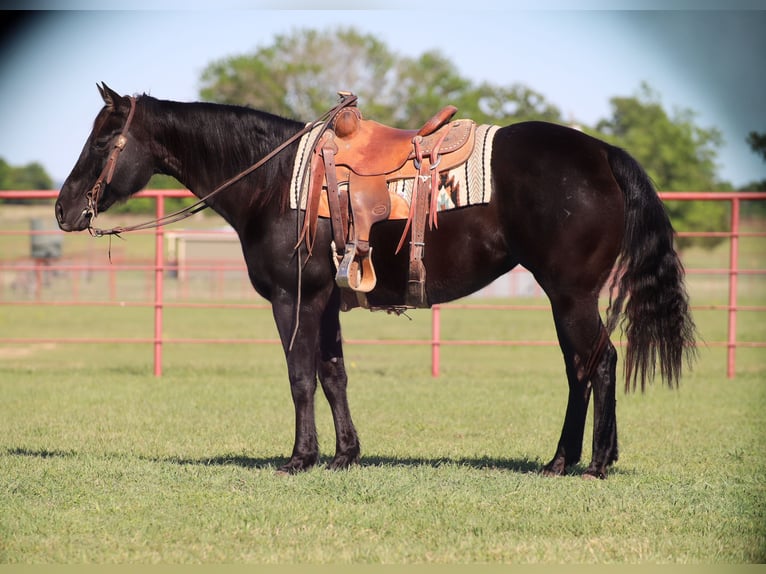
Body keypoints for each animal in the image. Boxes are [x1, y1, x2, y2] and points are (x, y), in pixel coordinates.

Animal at [55, 83, 696, 479]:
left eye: (103, 140)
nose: (64, 209)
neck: (274, 181)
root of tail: (603, 152)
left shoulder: (294, 298)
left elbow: (300, 377)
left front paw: (299, 458)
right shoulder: (326, 301)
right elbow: (334, 375)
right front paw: (345, 455)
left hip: (570, 295)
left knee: (596, 363)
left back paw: (588, 462)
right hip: (567, 298)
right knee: (584, 367)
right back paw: (572, 459)